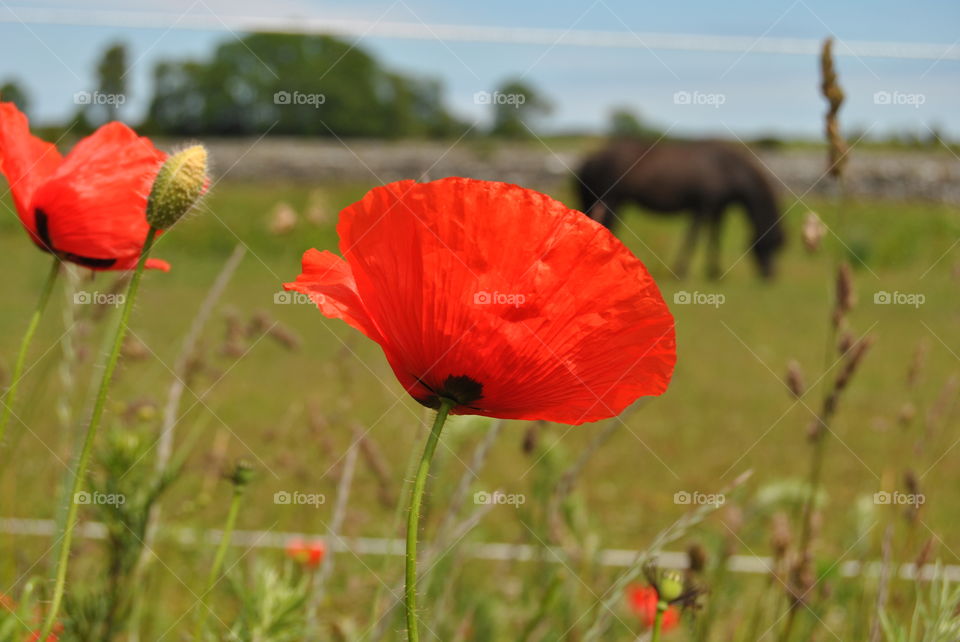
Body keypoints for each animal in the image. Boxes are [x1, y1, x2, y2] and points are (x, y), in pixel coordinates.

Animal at [572, 139, 784, 278]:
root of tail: (589, 160)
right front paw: (682, 271)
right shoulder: (702, 208)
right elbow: (694, 239)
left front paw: (714, 272)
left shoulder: (717, 210)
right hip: (611, 202)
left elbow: (714, 238)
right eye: (771, 243)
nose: (770, 276)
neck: (727, 168)